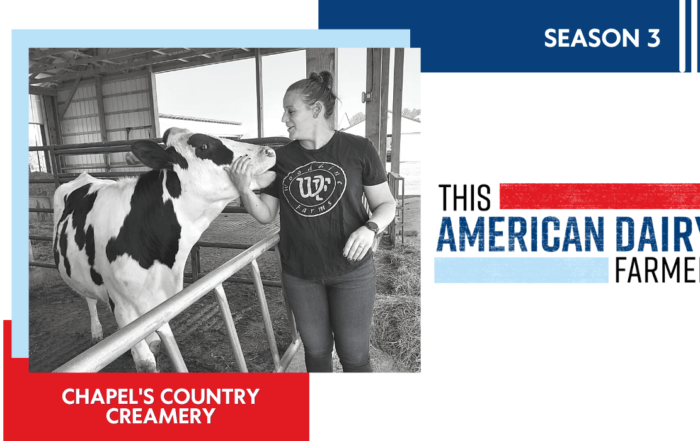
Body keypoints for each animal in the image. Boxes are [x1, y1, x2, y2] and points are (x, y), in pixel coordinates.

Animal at [51, 127, 276, 372]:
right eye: (203, 146)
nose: (270, 150)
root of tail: (84, 176)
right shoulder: (123, 306)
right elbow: (146, 362)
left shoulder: (156, 308)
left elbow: (156, 345)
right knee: (89, 299)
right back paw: (96, 331)